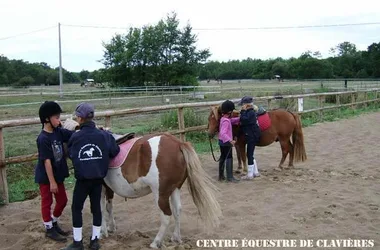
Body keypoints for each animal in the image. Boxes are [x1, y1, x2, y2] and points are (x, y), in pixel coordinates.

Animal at [62, 119, 223, 248]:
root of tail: (178, 143)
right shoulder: (108, 188)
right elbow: (109, 207)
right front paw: (111, 228)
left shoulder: (100, 187)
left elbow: (100, 209)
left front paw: (102, 232)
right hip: (174, 189)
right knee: (178, 211)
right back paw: (176, 238)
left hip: (160, 193)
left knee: (166, 216)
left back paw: (156, 242)